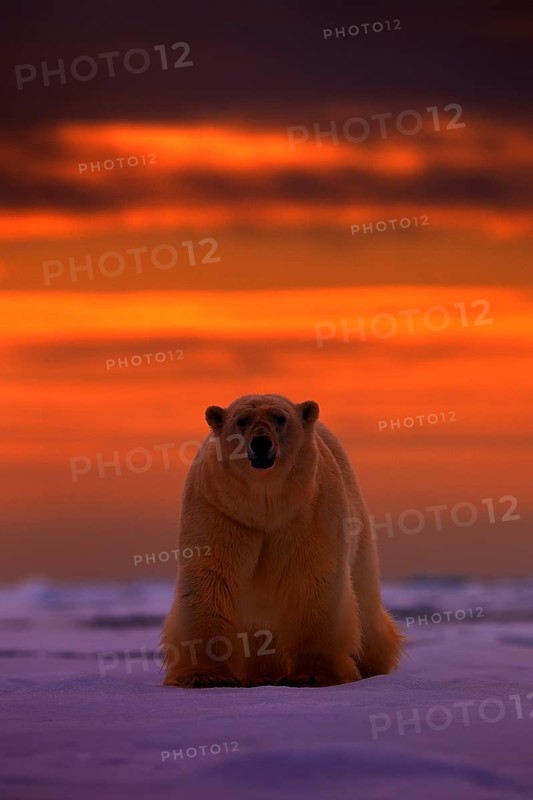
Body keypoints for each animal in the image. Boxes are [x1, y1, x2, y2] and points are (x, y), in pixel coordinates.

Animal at [161, 394, 402, 688]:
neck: (265, 507)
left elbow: (312, 578)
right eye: (242, 420)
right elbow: (213, 577)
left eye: (280, 418)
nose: (261, 443)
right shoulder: (220, 511)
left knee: (366, 607)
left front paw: (313, 674)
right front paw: (208, 676)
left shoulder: (308, 511)